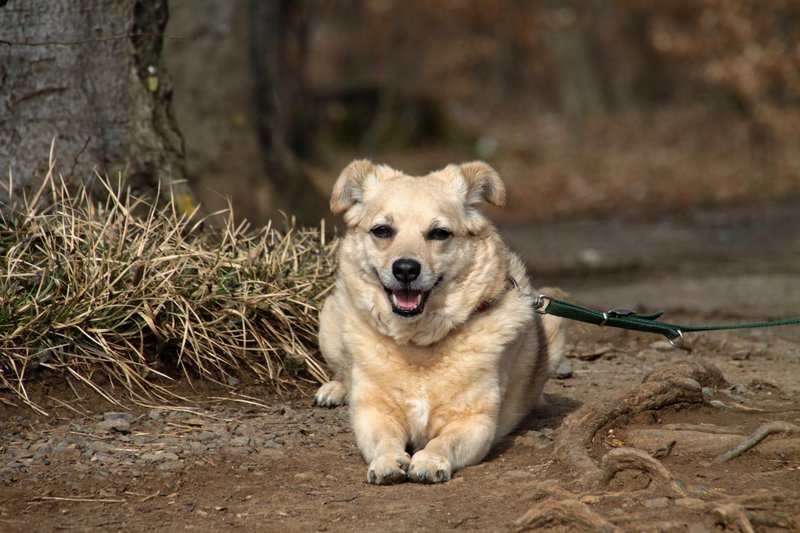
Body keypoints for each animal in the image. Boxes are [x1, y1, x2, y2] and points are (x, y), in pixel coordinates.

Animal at [312, 160, 564, 484]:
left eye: (439, 233)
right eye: (382, 231)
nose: (406, 269)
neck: (419, 342)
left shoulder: (474, 422)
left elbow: (443, 441)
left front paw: (430, 460)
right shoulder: (373, 414)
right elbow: (384, 438)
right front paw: (387, 461)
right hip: (330, 317)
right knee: (344, 369)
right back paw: (335, 389)